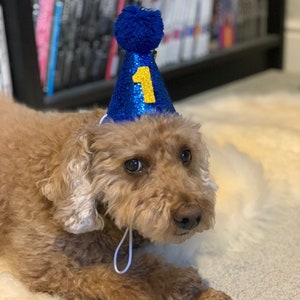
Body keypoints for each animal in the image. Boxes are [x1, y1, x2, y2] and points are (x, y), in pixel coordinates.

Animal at [0, 92, 231, 300]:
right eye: (133, 164)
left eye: (186, 154)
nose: (191, 216)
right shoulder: (50, 267)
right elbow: (124, 279)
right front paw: (183, 284)